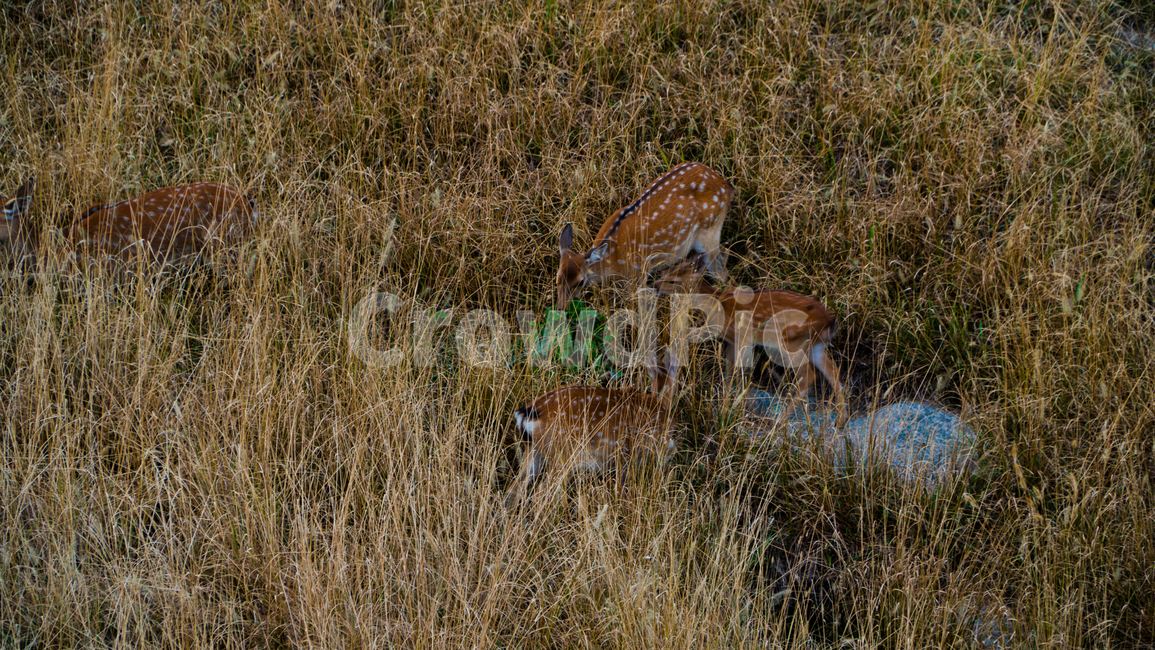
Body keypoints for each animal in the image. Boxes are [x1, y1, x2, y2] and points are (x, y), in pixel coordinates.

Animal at [504, 350, 680, 509]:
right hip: (563, 454)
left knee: (514, 490)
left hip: (534, 450)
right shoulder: (630, 454)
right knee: (540, 493)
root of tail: (528, 413)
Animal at [556, 162, 735, 310]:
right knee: (723, 254)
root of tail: (727, 186)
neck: (613, 259)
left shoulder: (640, 271)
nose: (560, 308)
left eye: (580, 282)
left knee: (721, 270)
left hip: (709, 229)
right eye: (558, 278)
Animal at [655, 252, 847, 428]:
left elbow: (739, 371)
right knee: (833, 372)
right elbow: (729, 371)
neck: (717, 303)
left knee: (809, 375)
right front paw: (727, 401)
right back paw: (839, 422)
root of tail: (830, 321)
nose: (655, 285)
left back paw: (779, 420)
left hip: (790, 342)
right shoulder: (732, 340)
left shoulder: (742, 337)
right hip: (816, 345)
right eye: (663, 273)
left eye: (673, 281)